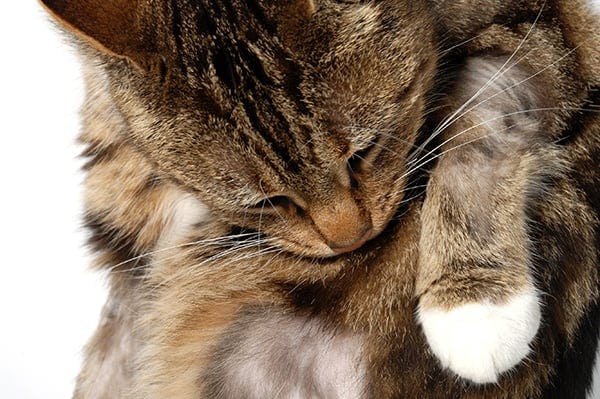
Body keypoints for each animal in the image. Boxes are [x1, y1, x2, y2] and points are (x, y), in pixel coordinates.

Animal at [41, 0, 600, 398]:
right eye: (268, 201)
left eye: (363, 153)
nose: (351, 240)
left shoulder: (547, 35)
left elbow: (479, 128)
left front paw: (475, 305)